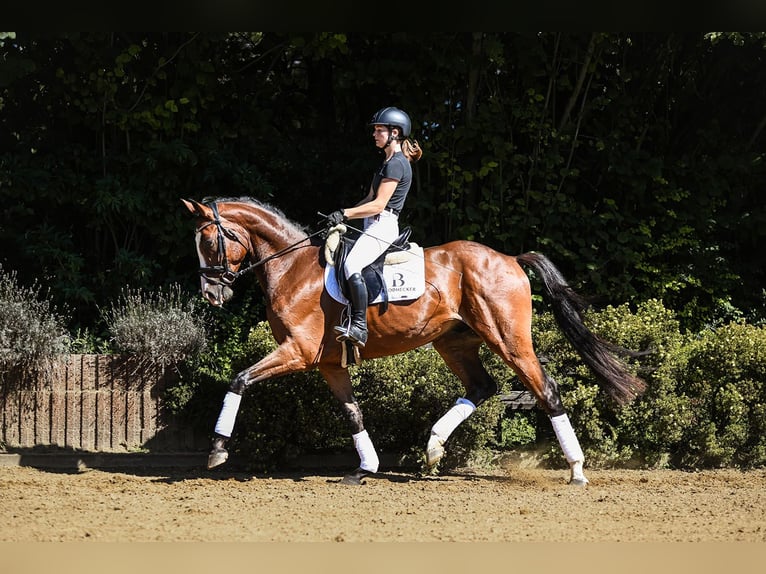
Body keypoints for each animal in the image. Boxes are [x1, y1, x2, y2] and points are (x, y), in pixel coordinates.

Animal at [183, 197, 644, 486]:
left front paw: (217, 450)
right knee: (482, 387)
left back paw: (577, 470)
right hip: (454, 342)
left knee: (545, 389)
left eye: (208, 241)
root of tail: (510, 259)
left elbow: (239, 379)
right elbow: (353, 413)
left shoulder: (297, 352)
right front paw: (364, 468)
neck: (292, 267)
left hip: (508, 338)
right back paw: (434, 448)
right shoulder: (329, 364)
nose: (211, 294)